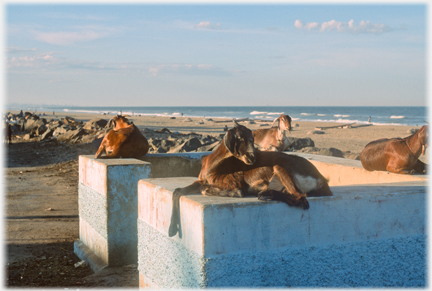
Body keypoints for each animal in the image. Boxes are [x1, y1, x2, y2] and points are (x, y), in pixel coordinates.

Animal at [169, 121, 330, 237]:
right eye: (240, 137)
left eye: (253, 139)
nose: (253, 157)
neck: (213, 165)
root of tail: (322, 180)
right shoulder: (200, 180)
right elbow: (178, 190)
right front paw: (172, 229)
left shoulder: (233, 181)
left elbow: (207, 189)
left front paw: (236, 193)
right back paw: (268, 193)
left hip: (281, 167)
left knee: (302, 199)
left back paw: (267, 194)